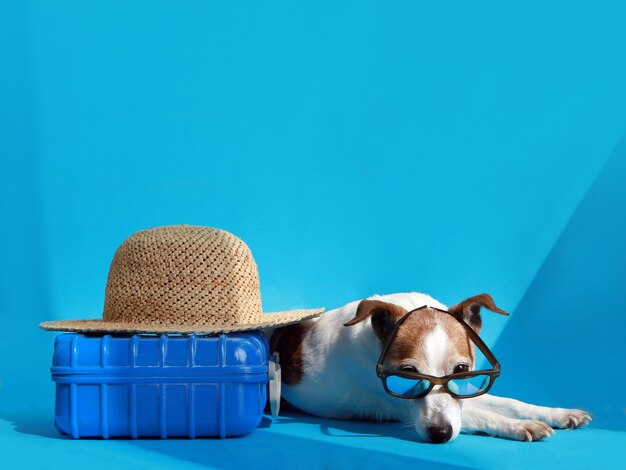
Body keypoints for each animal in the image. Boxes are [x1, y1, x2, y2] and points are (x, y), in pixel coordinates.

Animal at [270, 292, 588, 442]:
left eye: (460, 369)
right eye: (405, 374)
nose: (440, 434)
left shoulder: (464, 392)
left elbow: (511, 403)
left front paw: (557, 414)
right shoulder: (399, 406)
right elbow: (483, 415)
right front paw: (519, 425)